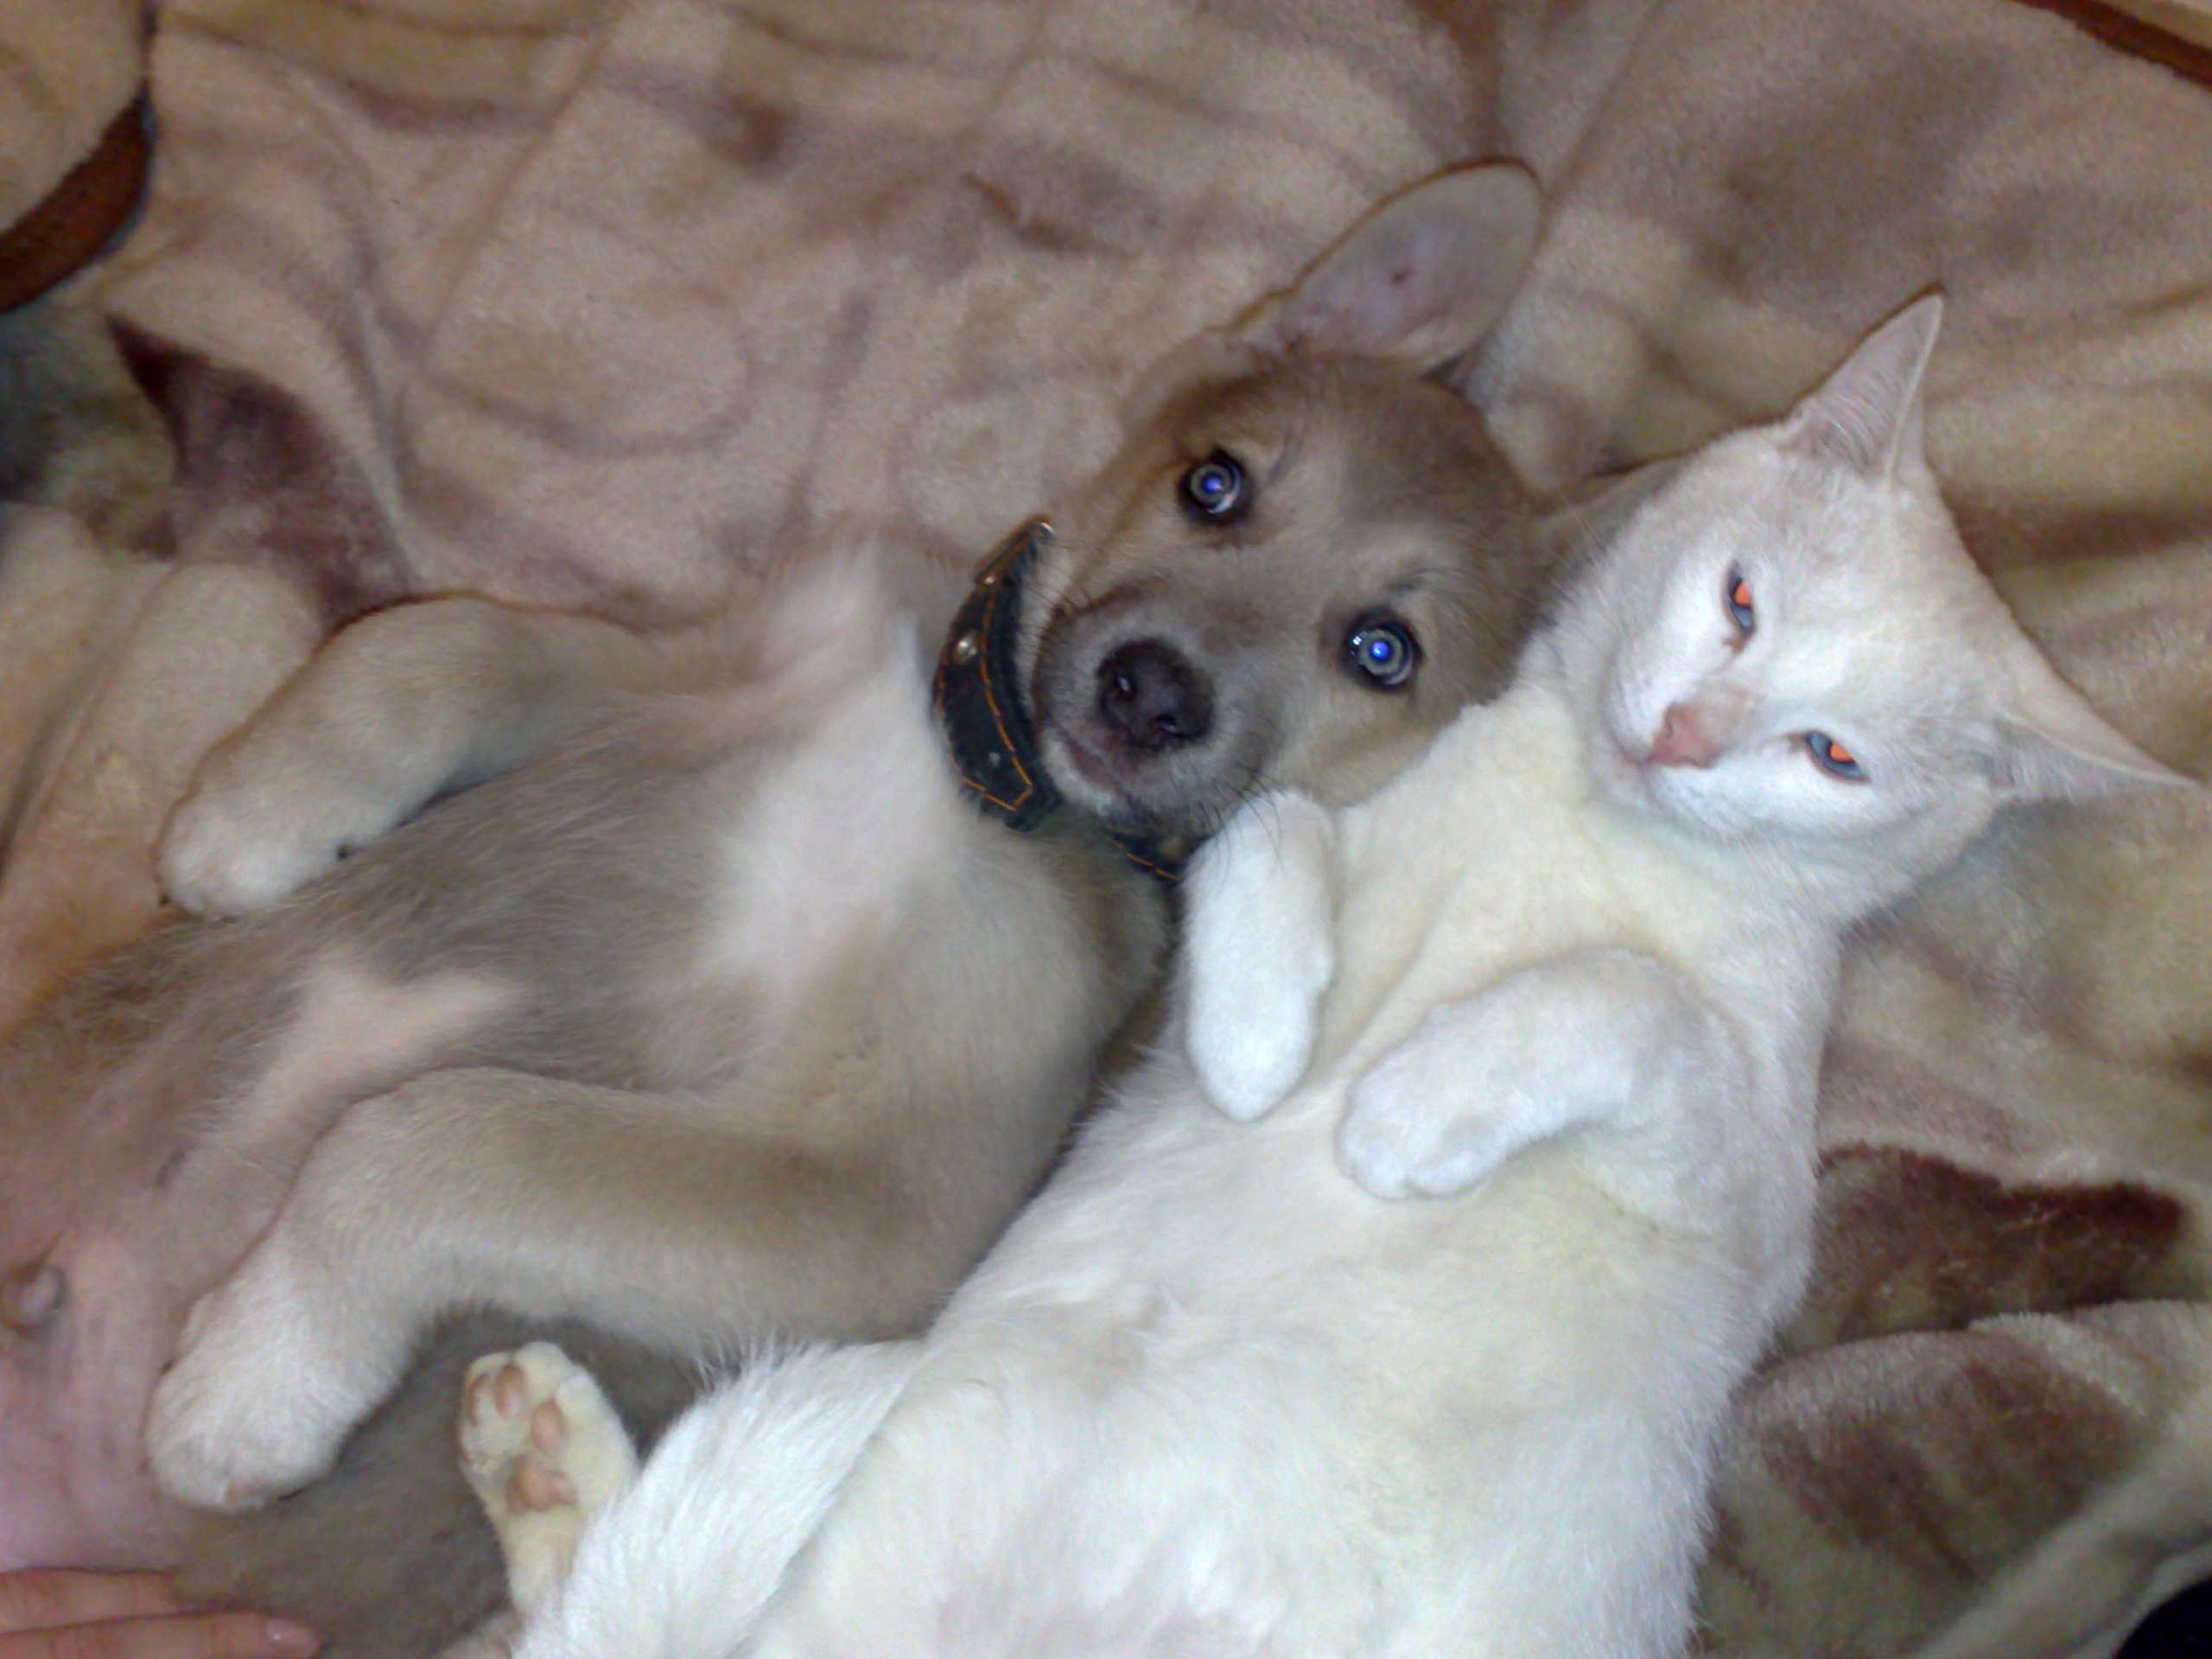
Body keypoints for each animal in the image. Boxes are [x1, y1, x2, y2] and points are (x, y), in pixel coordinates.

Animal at [432, 294, 2186, 1658]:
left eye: (1835, 759)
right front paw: (1273, 1042)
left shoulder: (1750, 1186)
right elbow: (1264, 834)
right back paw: (547, 1467)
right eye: (1740, 599)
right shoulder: (1281, 846)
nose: (1685, 740)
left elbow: (1628, 1001)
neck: (1572, 811)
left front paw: (1410, 1117)